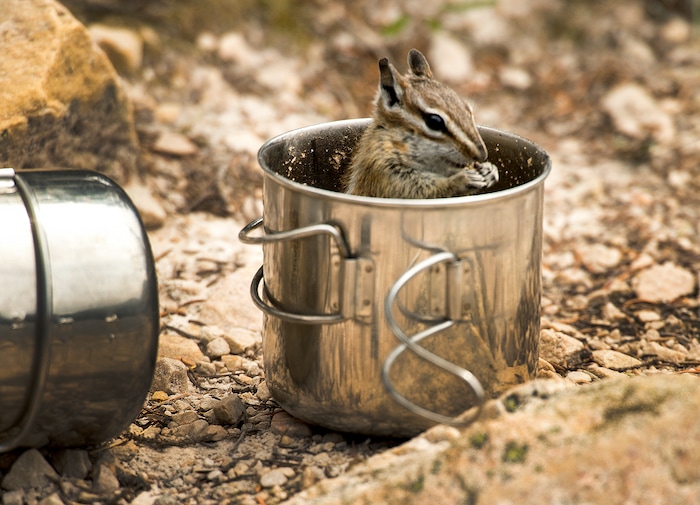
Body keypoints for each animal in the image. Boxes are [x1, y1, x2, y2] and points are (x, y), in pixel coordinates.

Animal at [343, 49, 498, 199]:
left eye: (468, 109)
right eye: (434, 122)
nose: (482, 155)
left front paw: (490, 170)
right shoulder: (384, 172)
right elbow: (419, 191)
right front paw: (461, 180)